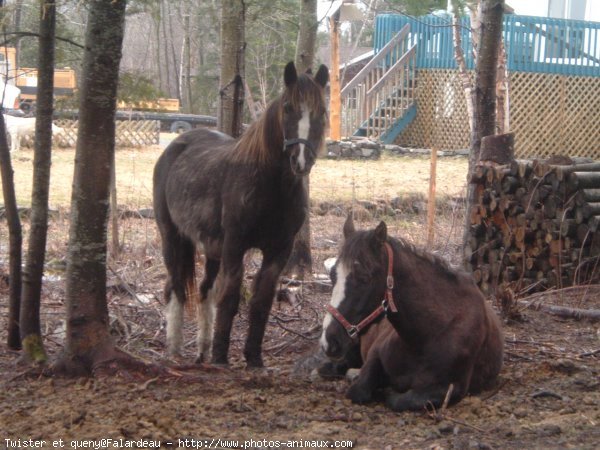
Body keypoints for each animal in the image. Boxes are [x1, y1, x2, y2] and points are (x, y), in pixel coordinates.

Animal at [151, 62, 328, 366]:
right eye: (288, 107)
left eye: (322, 111)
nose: (301, 161)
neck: (271, 188)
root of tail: (175, 146)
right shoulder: (235, 245)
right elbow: (231, 297)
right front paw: (221, 357)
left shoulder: (278, 251)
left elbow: (261, 303)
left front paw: (254, 358)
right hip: (172, 236)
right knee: (175, 287)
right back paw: (175, 349)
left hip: (211, 247)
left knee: (204, 290)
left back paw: (202, 350)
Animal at [322, 218, 504, 412]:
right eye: (332, 275)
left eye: (364, 278)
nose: (329, 340)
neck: (425, 337)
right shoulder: (375, 355)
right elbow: (358, 391)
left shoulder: (452, 389)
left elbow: (401, 400)